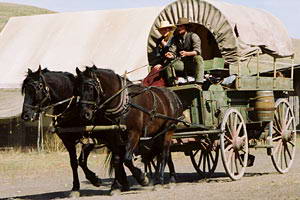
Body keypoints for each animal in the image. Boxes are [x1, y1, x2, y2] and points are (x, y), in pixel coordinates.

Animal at [21, 66, 148, 195]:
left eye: (38, 87)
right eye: (25, 90)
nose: (25, 116)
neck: (72, 109)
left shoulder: (92, 139)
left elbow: (81, 160)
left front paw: (95, 180)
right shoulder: (68, 141)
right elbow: (74, 162)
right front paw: (76, 187)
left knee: (119, 157)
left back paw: (119, 184)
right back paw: (124, 184)